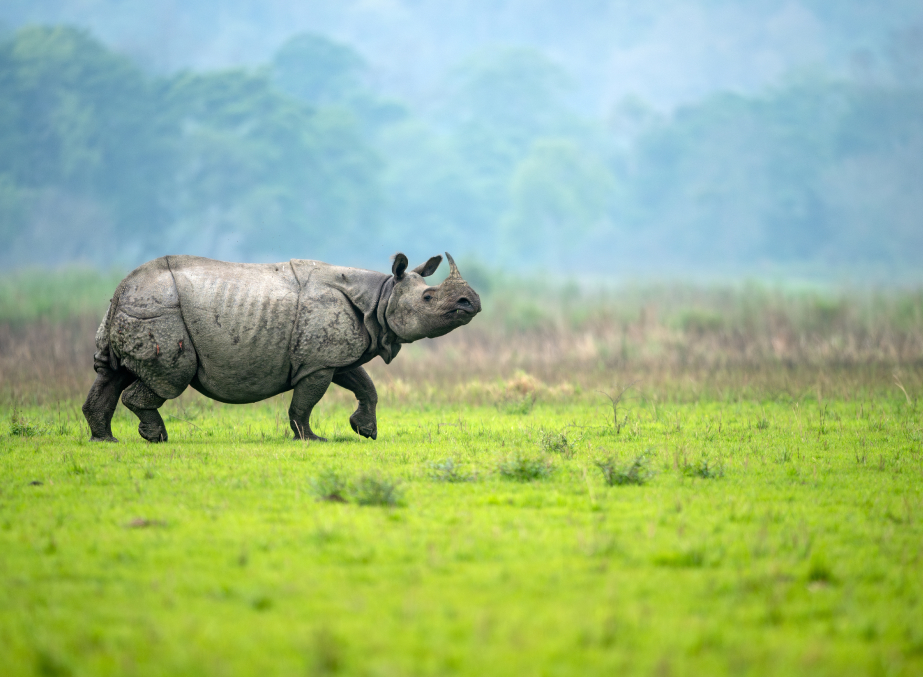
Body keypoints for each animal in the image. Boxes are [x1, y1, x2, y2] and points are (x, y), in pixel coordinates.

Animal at [82, 251, 480, 440]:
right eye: (429, 298)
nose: (471, 303)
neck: (381, 296)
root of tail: (121, 288)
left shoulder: (333, 354)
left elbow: (365, 386)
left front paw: (365, 431)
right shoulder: (318, 362)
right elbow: (304, 403)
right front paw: (313, 439)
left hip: (134, 307)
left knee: (112, 374)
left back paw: (106, 441)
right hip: (160, 312)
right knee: (170, 378)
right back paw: (157, 438)